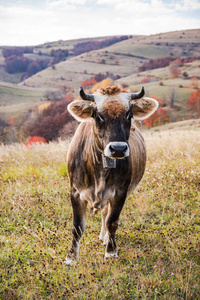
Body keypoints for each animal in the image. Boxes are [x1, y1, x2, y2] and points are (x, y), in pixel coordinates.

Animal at [65, 84, 159, 264]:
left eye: (129, 115)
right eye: (98, 116)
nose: (118, 149)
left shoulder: (120, 192)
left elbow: (112, 221)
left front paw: (111, 251)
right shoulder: (75, 191)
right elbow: (77, 226)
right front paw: (71, 257)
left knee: (105, 214)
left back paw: (106, 237)